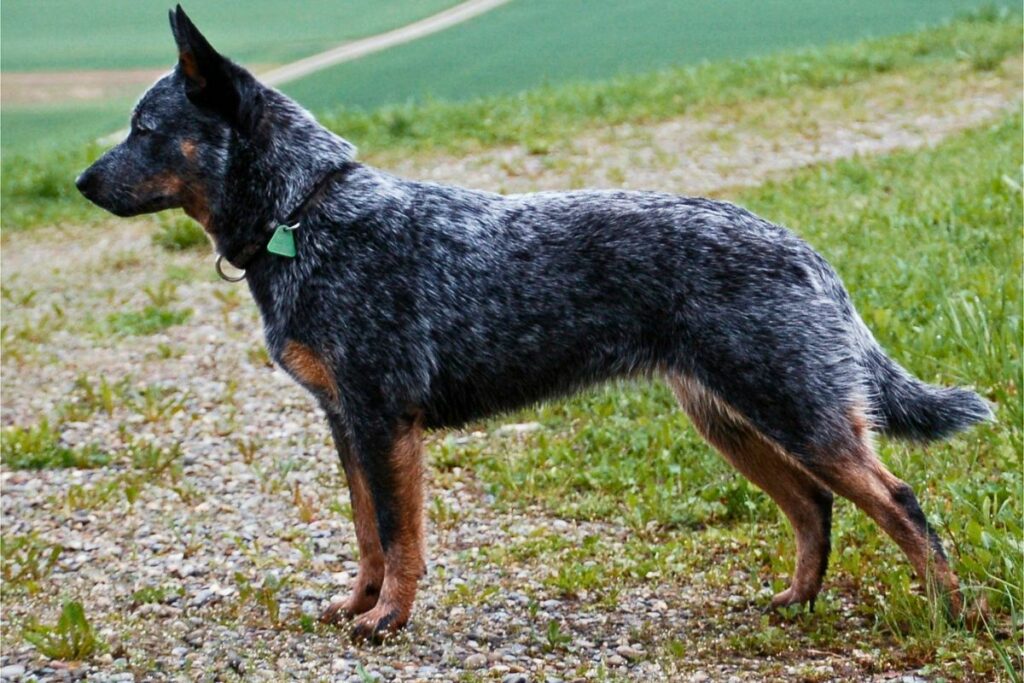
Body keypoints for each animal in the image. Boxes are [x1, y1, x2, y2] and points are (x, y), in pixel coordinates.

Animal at [77, 6, 991, 643]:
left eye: (145, 129)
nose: (80, 183)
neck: (306, 212)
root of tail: (809, 251)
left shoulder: (383, 419)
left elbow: (400, 537)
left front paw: (388, 619)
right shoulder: (345, 421)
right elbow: (368, 535)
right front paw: (357, 603)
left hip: (794, 413)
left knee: (901, 502)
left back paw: (954, 617)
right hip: (731, 420)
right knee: (812, 506)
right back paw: (798, 601)